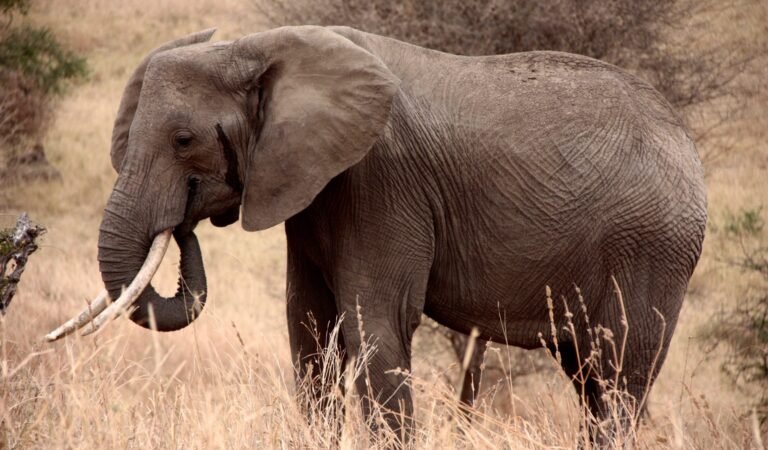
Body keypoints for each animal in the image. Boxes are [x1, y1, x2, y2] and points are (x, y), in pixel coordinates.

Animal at [46, 26, 707, 444]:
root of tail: (686, 140)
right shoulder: (312, 186)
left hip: (652, 247)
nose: (183, 223)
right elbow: (308, 328)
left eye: (184, 141)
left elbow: (376, 324)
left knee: (621, 374)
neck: (257, 45)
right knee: (590, 375)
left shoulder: (380, 180)